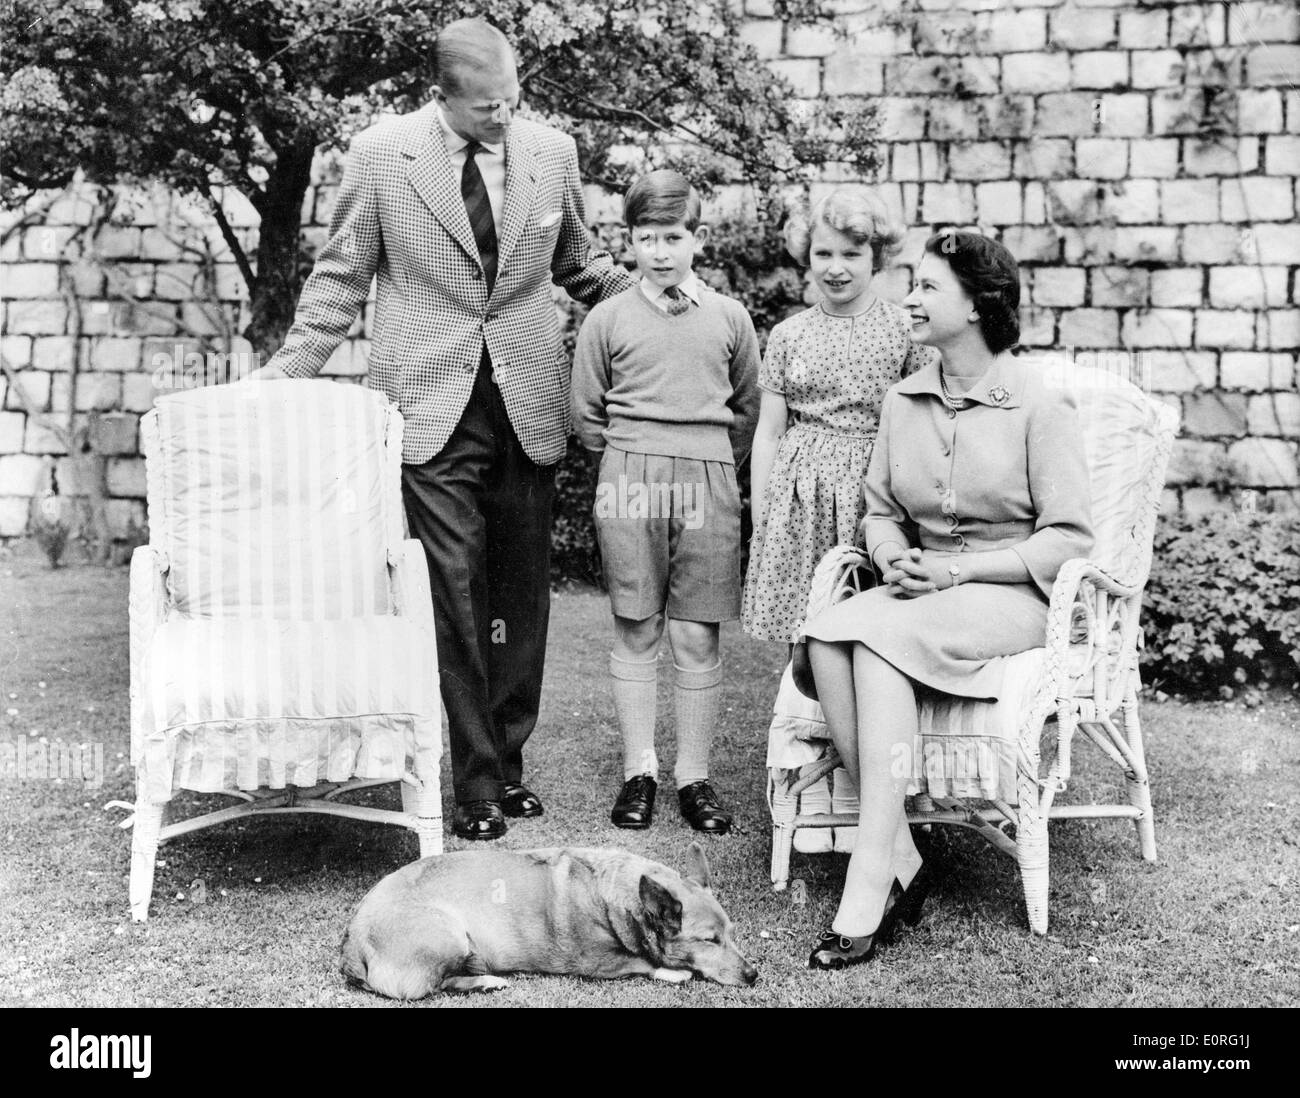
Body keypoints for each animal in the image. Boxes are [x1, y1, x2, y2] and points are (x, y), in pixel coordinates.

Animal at [340, 842, 759, 997]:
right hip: (451, 936)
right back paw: (486, 981)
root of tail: (352, 944)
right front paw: (674, 972)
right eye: (709, 941)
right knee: (436, 986)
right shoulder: (598, 963)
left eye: (732, 934)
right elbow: (641, 962)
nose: (754, 975)